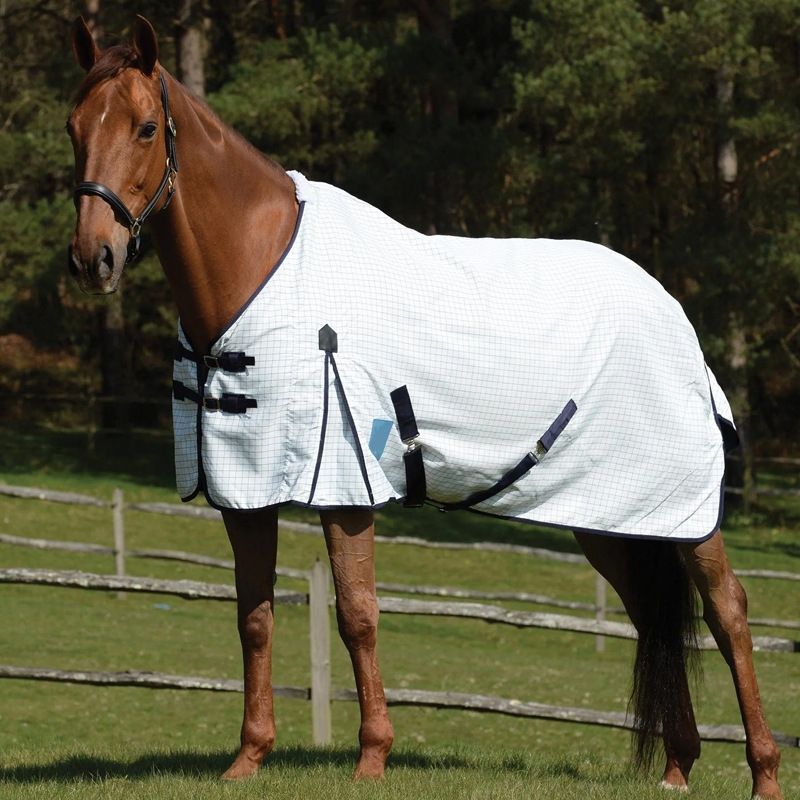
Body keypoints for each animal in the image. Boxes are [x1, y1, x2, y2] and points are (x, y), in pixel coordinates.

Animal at [65, 16, 782, 798]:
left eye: (144, 127)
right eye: (73, 127)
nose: (93, 257)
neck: (263, 271)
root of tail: (669, 308)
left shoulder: (344, 491)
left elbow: (358, 615)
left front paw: (372, 758)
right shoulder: (243, 493)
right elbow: (254, 618)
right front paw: (248, 759)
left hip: (685, 513)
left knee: (729, 610)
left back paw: (765, 772)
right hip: (612, 517)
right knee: (651, 616)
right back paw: (678, 768)